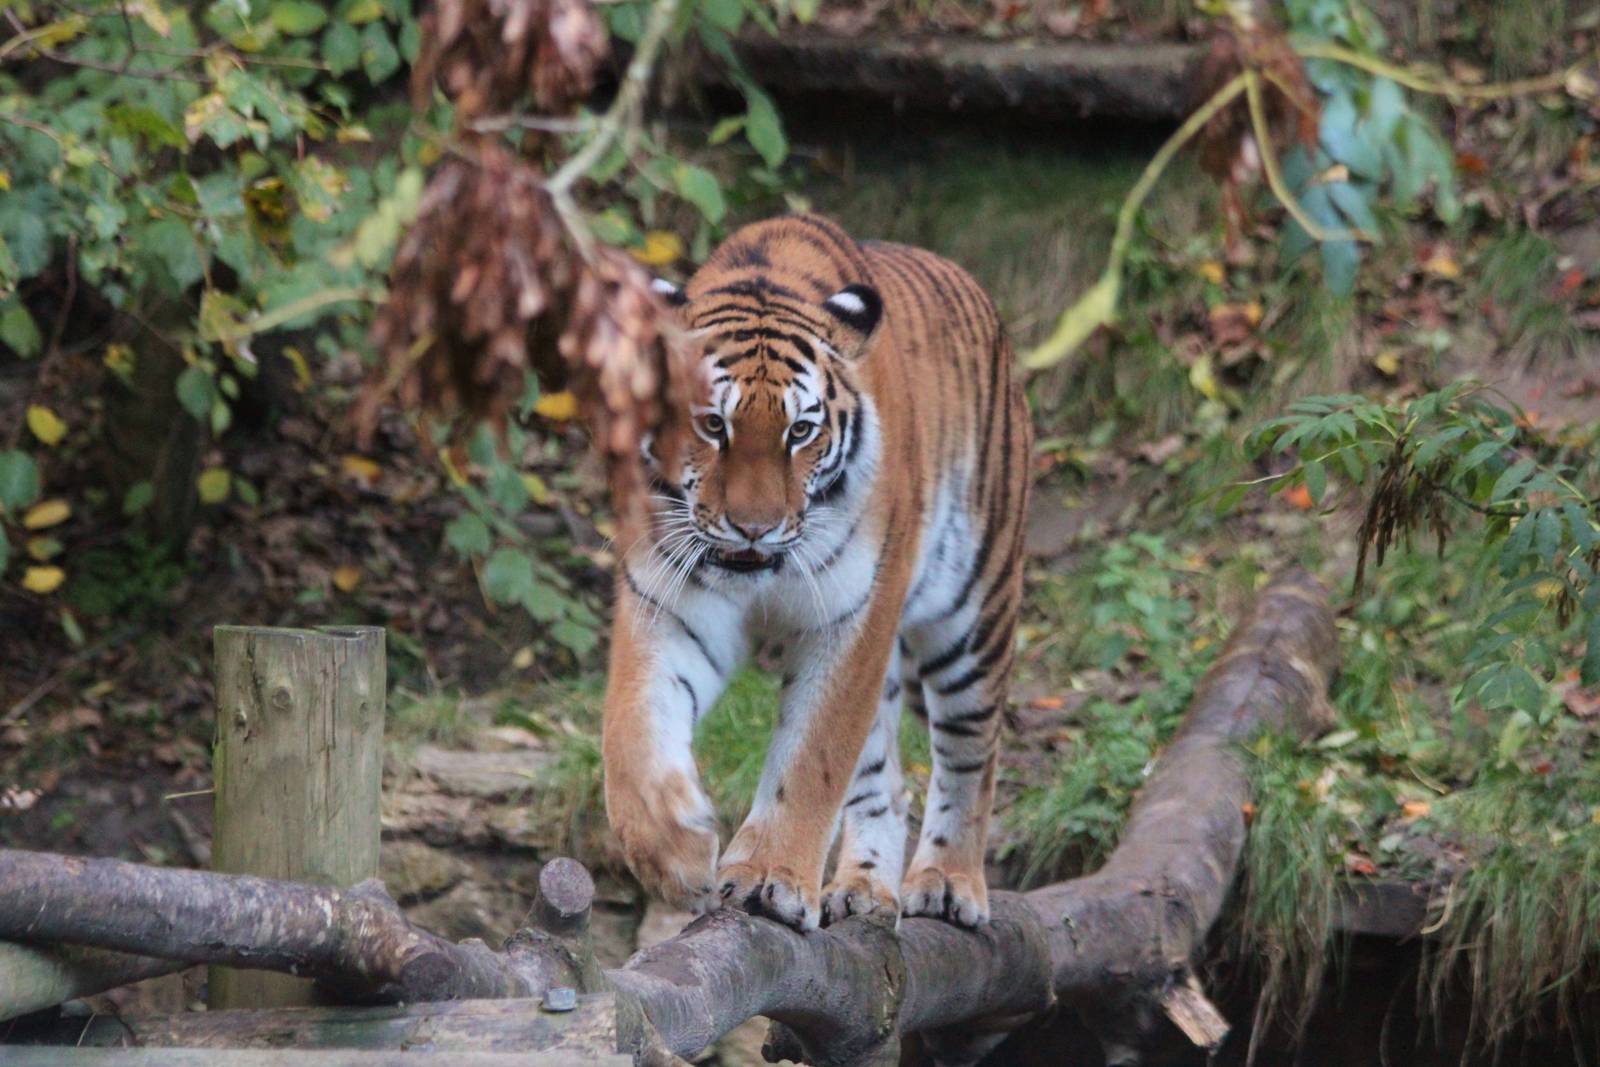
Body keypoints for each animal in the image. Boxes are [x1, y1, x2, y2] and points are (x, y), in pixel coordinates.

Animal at [601, 213, 1030, 931]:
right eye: (712, 424)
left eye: (800, 431)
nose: (754, 526)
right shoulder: (665, 606)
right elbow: (632, 733)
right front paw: (677, 854)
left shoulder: (854, 616)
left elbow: (812, 760)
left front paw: (767, 879)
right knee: (888, 781)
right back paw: (863, 890)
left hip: (973, 616)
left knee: (973, 753)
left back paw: (946, 883)